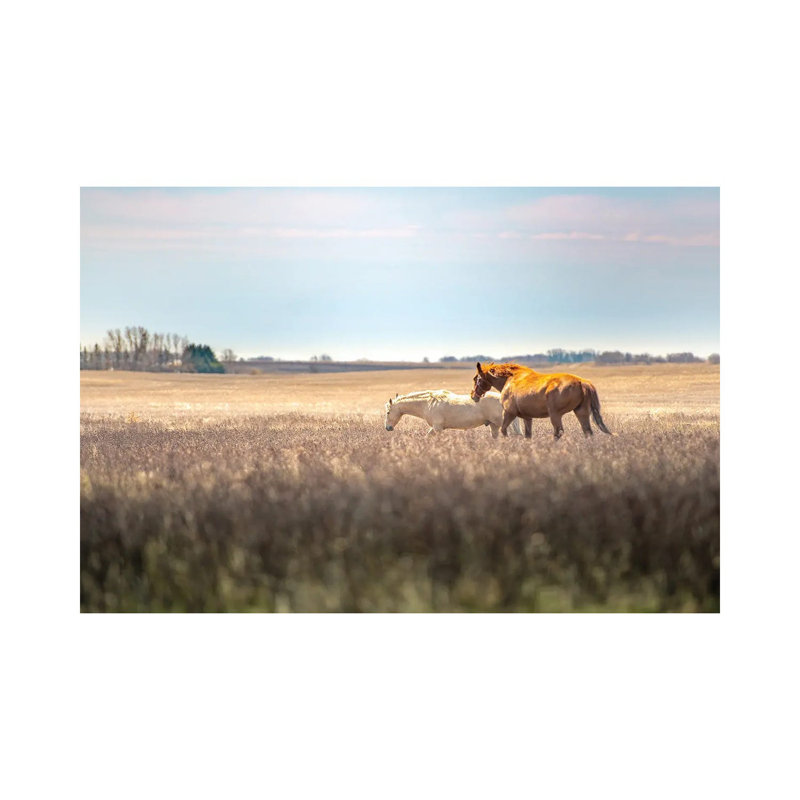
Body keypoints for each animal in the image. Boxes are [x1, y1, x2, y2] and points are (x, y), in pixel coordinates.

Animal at [384, 389, 524, 437]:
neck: (428, 403)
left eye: (388, 412)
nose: (388, 428)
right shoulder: (434, 428)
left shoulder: (437, 428)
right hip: (493, 425)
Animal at [470, 361, 612, 439]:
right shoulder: (527, 417)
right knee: (587, 432)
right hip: (581, 412)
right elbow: (528, 435)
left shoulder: (509, 413)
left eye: (476, 378)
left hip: (555, 415)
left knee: (558, 432)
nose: (473, 395)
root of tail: (582, 382)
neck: (510, 379)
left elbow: (504, 430)